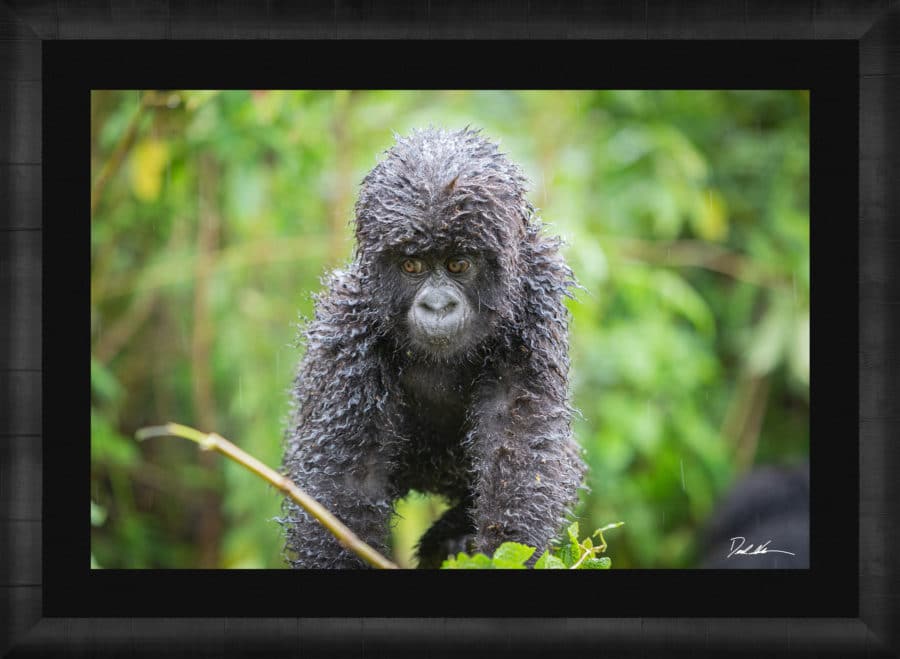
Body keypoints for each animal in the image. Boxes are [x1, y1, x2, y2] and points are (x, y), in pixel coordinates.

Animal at [284, 127, 588, 568]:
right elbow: (346, 482)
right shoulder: (347, 328)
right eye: (412, 265)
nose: (437, 305)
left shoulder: (535, 301)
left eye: (458, 264)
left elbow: (518, 444)